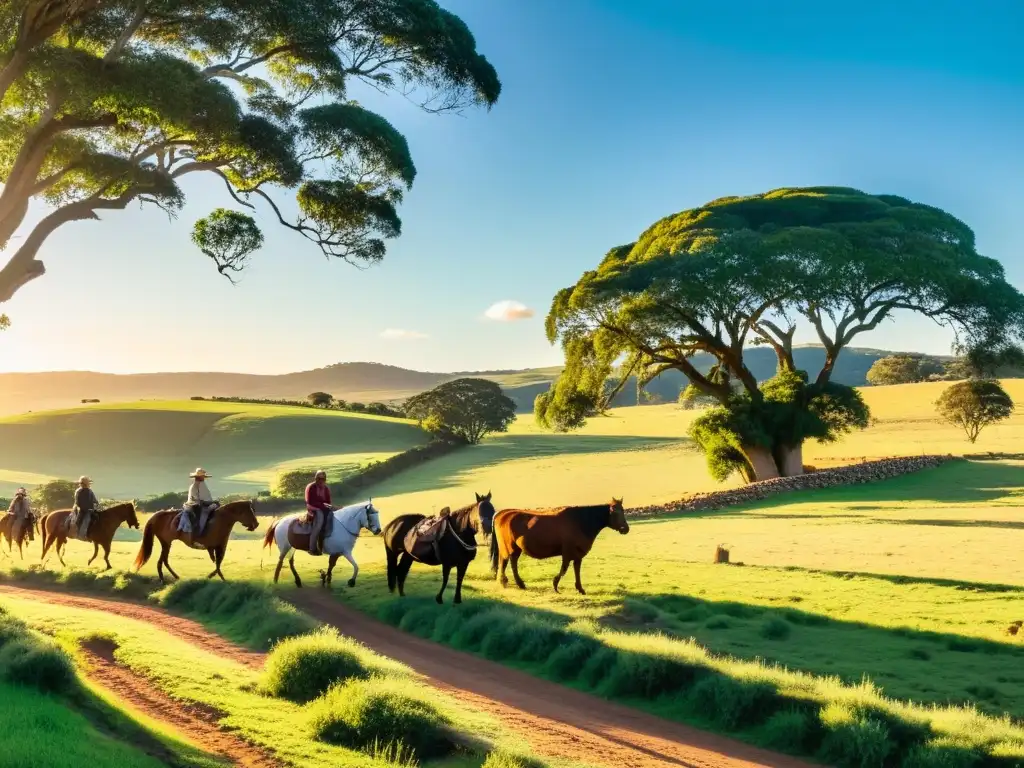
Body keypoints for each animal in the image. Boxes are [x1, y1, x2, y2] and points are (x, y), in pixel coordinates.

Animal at [491, 495, 626, 598]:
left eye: (623, 511)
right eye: (615, 512)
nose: (626, 528)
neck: (581, 522)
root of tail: (501, 514)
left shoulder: (578, 554)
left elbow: (576, 570)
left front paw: (580, 588)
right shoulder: (568, 553)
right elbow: (564, 569)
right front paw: (555, 585)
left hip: (515, 549)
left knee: (510, 563)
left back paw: (517, 583)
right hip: (508, 548)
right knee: (505, 562)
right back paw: (506, 582)